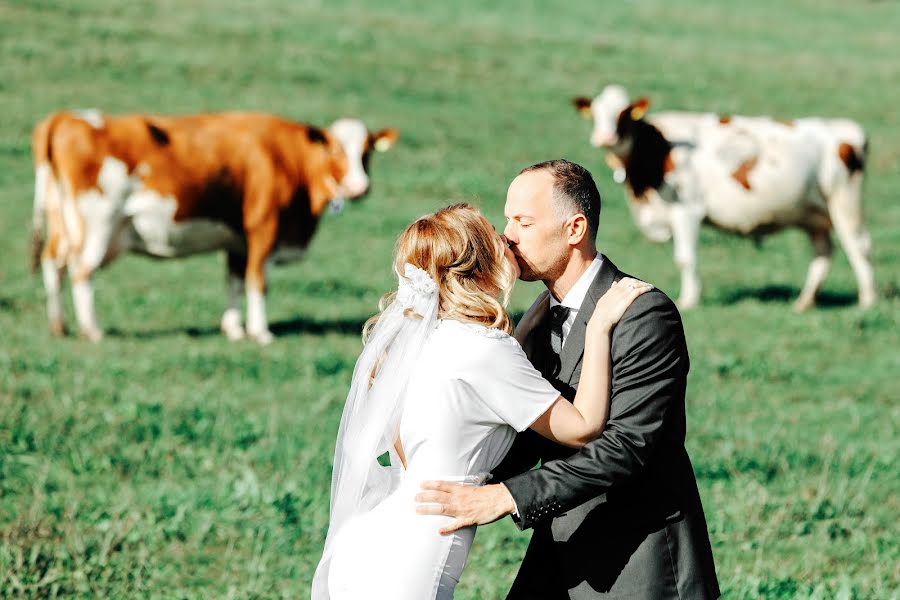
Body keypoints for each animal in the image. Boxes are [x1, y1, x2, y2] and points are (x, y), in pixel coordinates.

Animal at [31, 108, 398, 342]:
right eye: (335, 150)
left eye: (367, 151)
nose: (360, 187)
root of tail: (68, 117)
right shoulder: (263, 228)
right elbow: (257, 281)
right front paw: (260, 332)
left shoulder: (238, 241)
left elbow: (234, 281)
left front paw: (234, 329)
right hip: (99, 222)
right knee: (82, 270)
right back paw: (92, 330)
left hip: (62, 220)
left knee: (53, 264)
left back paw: (58, 326)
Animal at [572, 86, 876, 312]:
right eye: (596, 114)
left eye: (624, 114)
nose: (604, 137)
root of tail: (846, 129)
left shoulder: (686, 209)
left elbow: (685, 258)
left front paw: (689, 300)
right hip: (814, 216)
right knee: (823, 254)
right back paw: (804, 302)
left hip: (844, 203)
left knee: (859, 246)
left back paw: (867, 300)